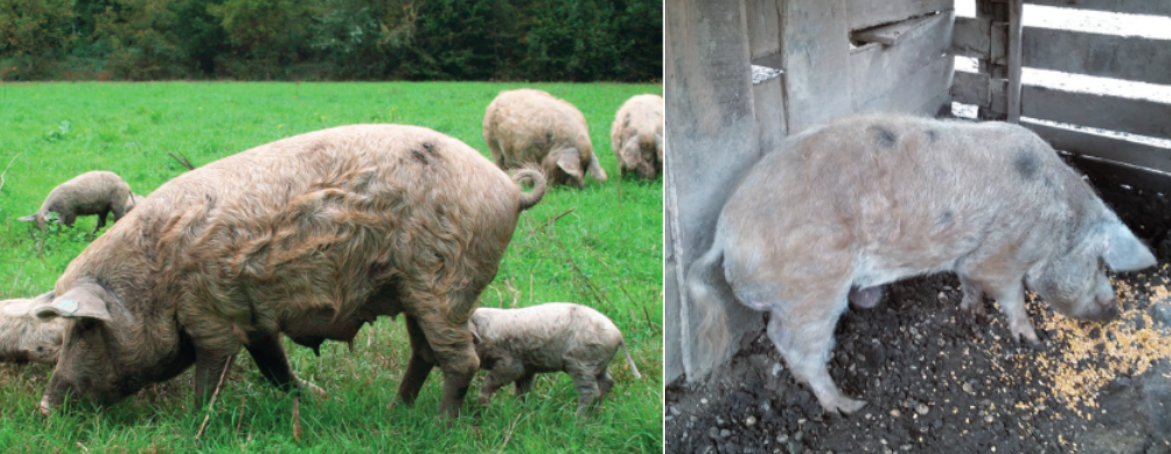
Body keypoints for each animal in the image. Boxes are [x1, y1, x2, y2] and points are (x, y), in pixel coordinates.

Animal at [17, 124, 546, 418]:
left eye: (85, 328)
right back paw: (396, 411)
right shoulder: (254, 318)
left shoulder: (211, 315)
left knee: (462, 360)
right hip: (416, 292)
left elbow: (212, 372)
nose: (44, 407)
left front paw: (195, 423)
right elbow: (274, 366)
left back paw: (438, 425)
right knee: (425, 353)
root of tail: (507, 189)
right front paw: (317, 398)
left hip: (446, 284)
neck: (155, 279)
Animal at [468, 303, 641, 416]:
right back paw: (594, 415)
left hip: (583, 361)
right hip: (600, 363)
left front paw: (481, 408)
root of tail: (618, 335)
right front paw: (519, 410)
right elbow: (523, 389)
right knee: (608, 382)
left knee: (591, 392)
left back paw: (577, 421)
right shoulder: (527, 367)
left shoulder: (510, 362)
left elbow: (492, 382)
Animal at [687, 114, 1157, 415]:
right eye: (1101, 265)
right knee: (793, 344)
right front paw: (1032, 338)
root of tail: (725, 232)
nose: (1113, 310)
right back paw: (848, 405)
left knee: (784, 342)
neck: (1058, 220)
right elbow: (1012, 296)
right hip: (812, 288)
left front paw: (971, 311)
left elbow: (970, 282)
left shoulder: (970, 256)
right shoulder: (1002, 255)